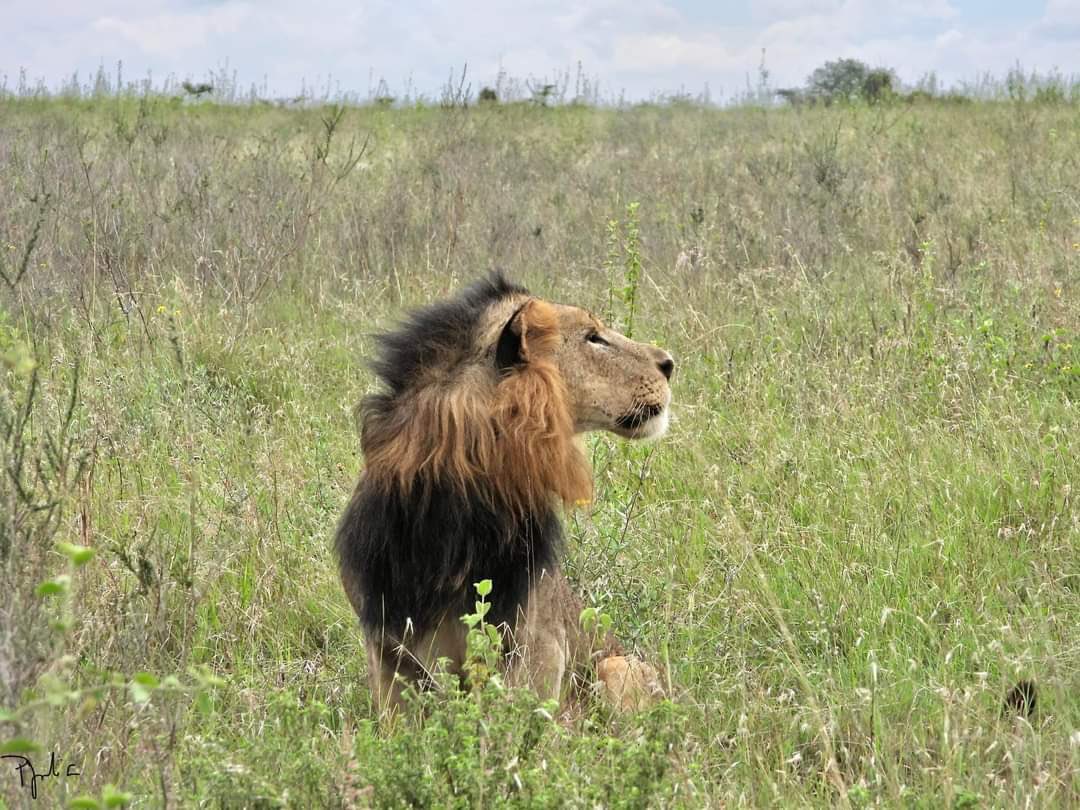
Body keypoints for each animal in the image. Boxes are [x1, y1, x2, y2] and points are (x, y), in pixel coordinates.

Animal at [335, 273, 674, 718]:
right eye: (593, 338)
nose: (670, 363)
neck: (459, 501)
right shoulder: (387, 650)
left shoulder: (536, 645)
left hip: (618, 665)